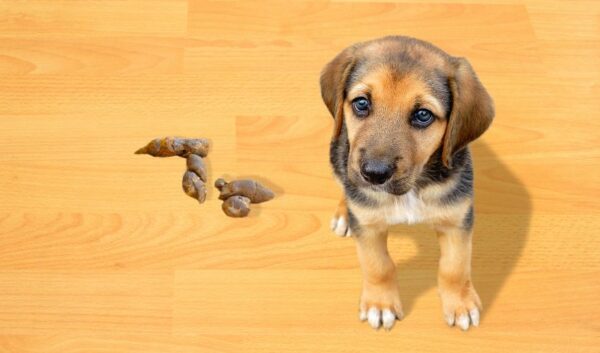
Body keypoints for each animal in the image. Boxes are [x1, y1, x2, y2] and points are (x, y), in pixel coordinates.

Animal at [322, 35, 494, 330]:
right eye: (361, 103)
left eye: (423, 115)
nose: (374, 174)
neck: (412, 188)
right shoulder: (369, 226)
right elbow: (378, 266)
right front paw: (380, 305)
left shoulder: (457, 220)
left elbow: (455, 266)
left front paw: (460, 303)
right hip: (338, 155)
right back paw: (345, 213)